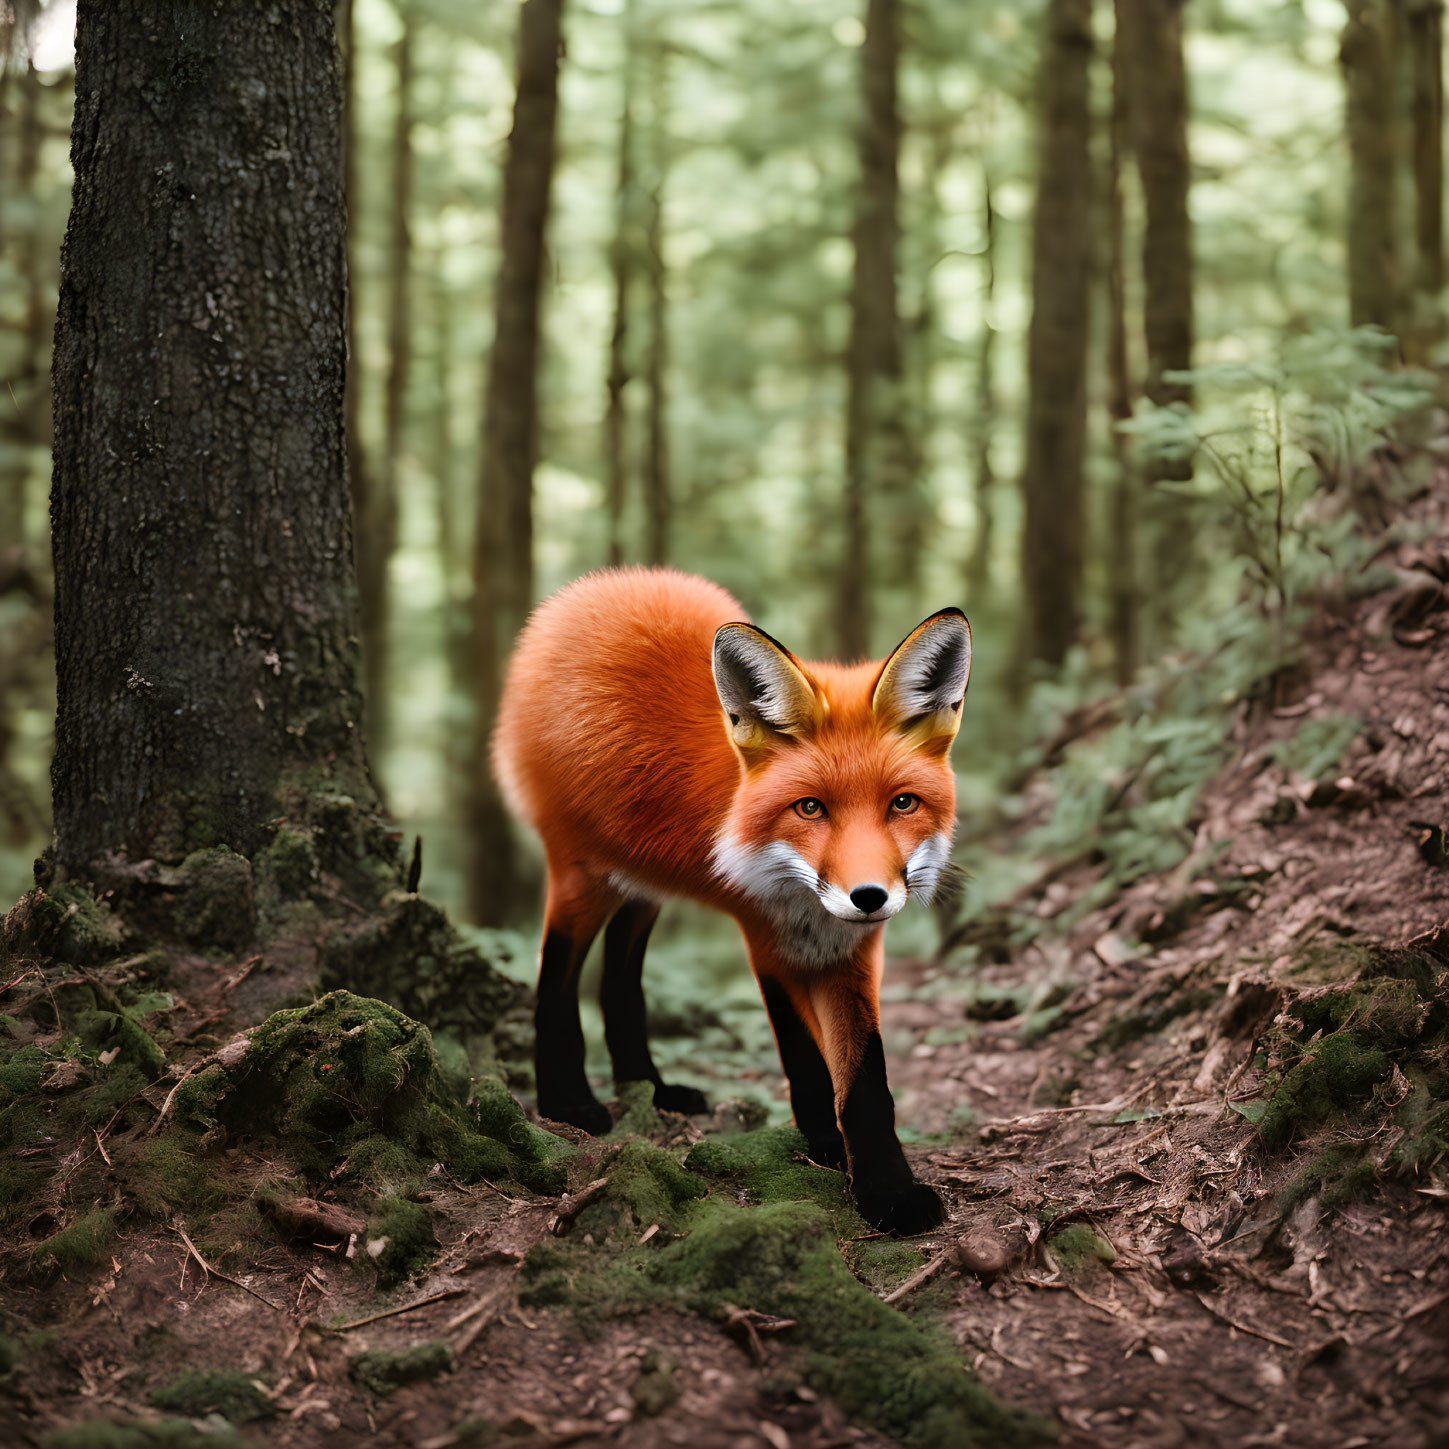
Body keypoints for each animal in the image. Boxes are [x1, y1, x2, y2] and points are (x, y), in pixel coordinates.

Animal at [495, 565, 973, 1234]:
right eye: (810, 808)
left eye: (902, 803)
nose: (869, 897)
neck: (803, 903)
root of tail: (594, 587)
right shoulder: (766, 938)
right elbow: (805, 1057)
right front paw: (828, 1145)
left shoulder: (852, 951)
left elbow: (866, 1082)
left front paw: (888, 1189)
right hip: (581, 873)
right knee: (558, 974)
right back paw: (567, 1101)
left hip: (644, 882)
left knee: (620, 973)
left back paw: (648, 1085)